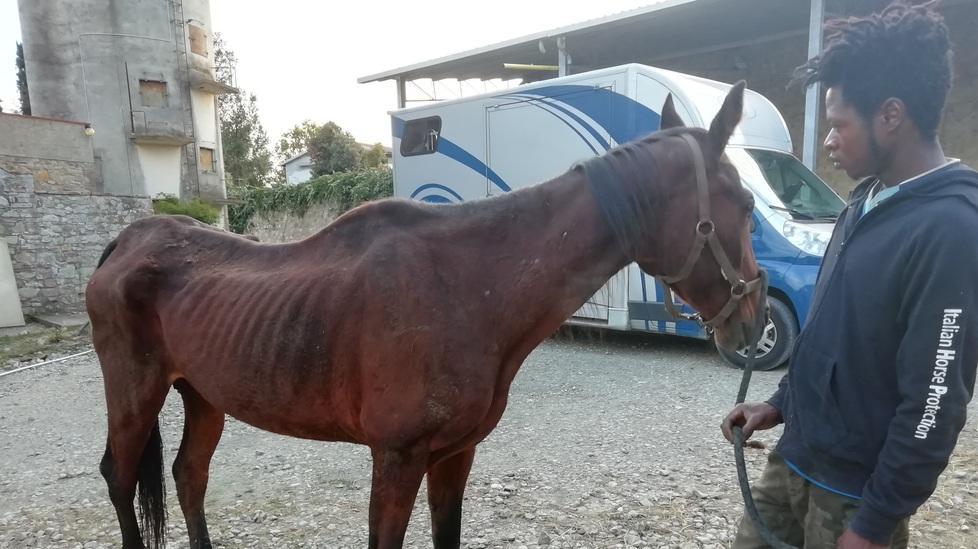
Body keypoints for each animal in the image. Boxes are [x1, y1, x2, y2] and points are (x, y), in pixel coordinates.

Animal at [86, 82, 761, 549]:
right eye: (748, 203)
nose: (752, 322)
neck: (466, 286)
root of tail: (129, 239)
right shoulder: (397, 459)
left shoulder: (454, 456)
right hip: (135, 390)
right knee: (119, 478)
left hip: (202, 394)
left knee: (188, 477)